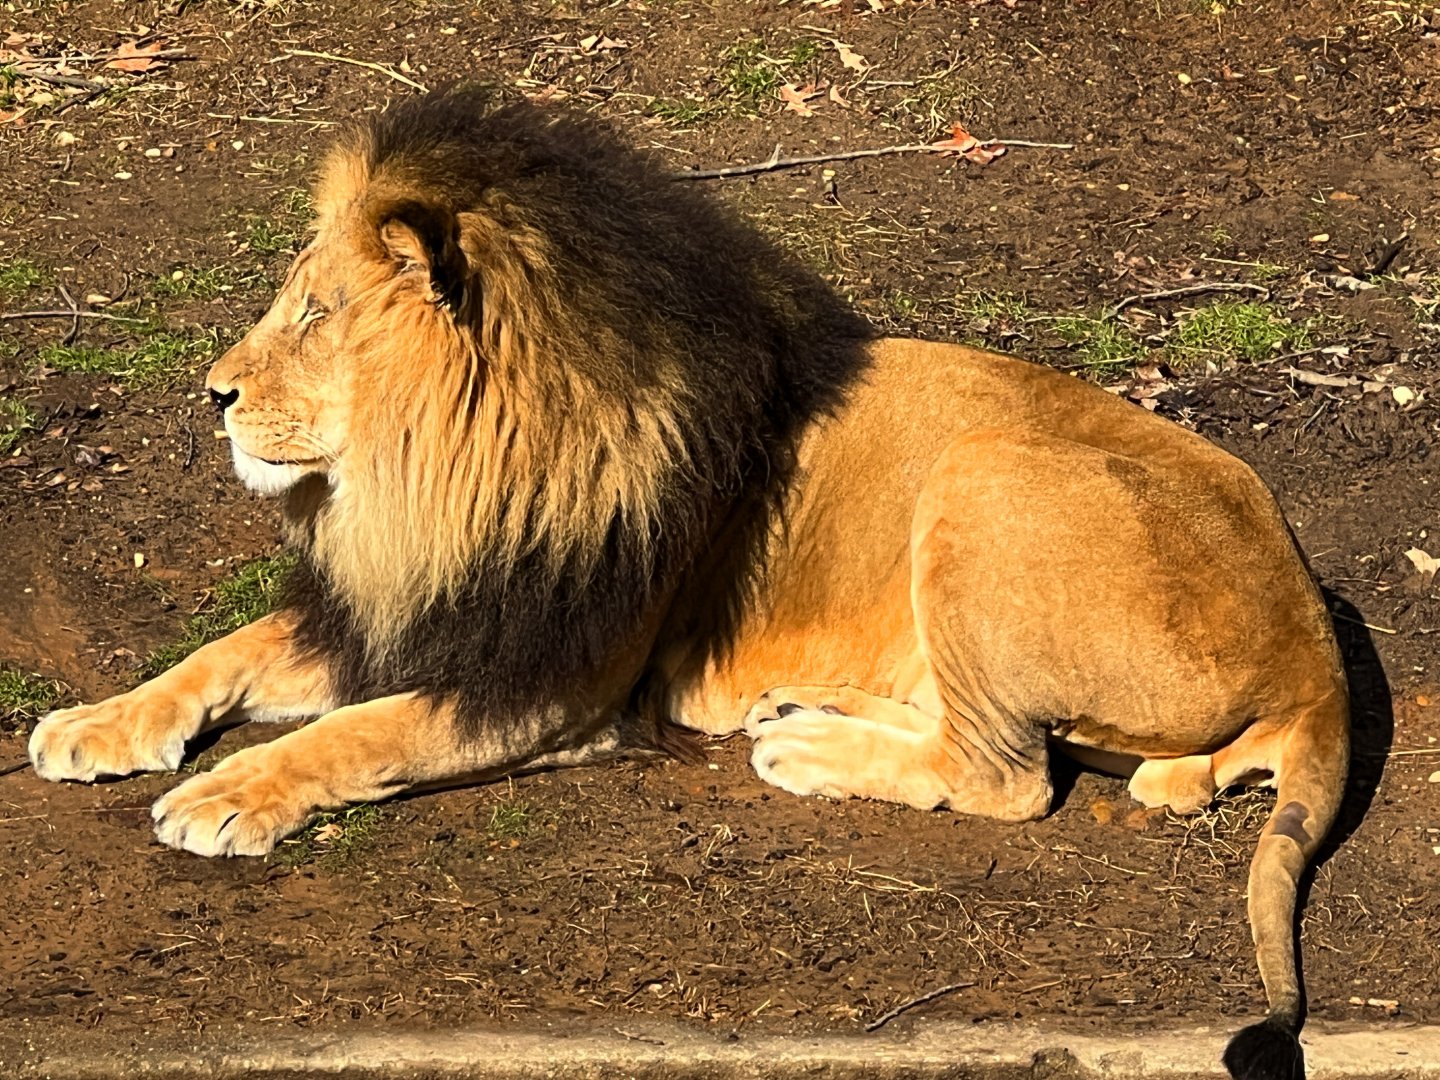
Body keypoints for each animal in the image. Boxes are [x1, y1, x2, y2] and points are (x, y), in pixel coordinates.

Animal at [28, 92, 1346, 1080]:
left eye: (315, 313)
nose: (211, 393)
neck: (428, 485)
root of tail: (1314, 637)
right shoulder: (414, 610)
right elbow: (224, 653)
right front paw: (97, 724)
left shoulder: (549, 680)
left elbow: (355, 735)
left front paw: (229, 792)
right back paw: (809, 710)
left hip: (982, 471)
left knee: (1010, 779)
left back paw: (808, 749)